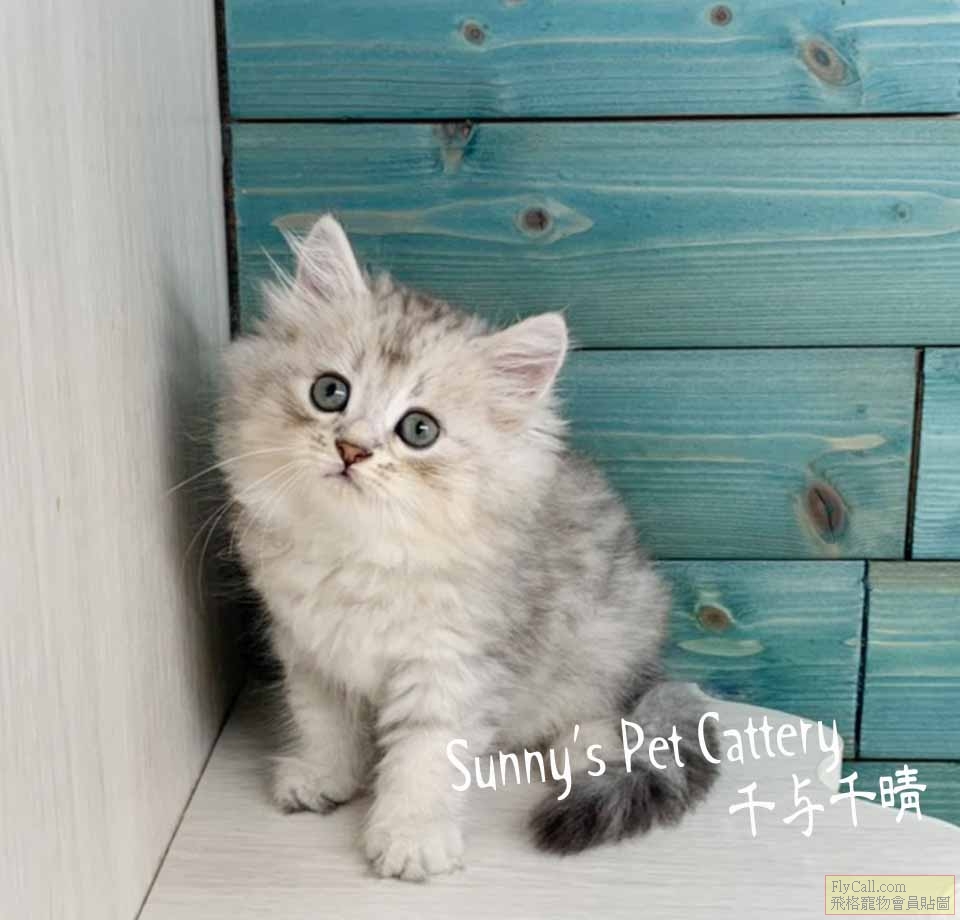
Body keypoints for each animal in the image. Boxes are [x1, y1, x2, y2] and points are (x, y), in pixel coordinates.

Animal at [217, 214, 719, 881]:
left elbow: (423, 756)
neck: (360, 552)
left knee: (605, 718)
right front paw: (326, 776)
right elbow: (324, 723)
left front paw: (410, 836)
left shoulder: (453, 665)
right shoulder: (309, 651)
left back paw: (581, 754)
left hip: (606, 641)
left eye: (418, 429)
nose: (352, 449)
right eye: (330, 393)